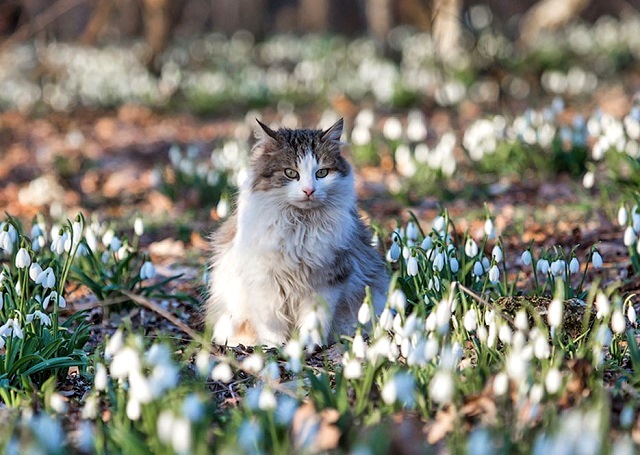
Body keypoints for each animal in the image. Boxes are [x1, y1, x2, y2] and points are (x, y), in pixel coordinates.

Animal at [206, 118, 384, 350]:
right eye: (291, 173)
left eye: (321, 173)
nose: (309, 191)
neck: (301, 226)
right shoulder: (265, 280)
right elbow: (271, 323)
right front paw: (274, 347)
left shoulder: (327, 279)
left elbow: (314, 320)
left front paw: (309, 345)